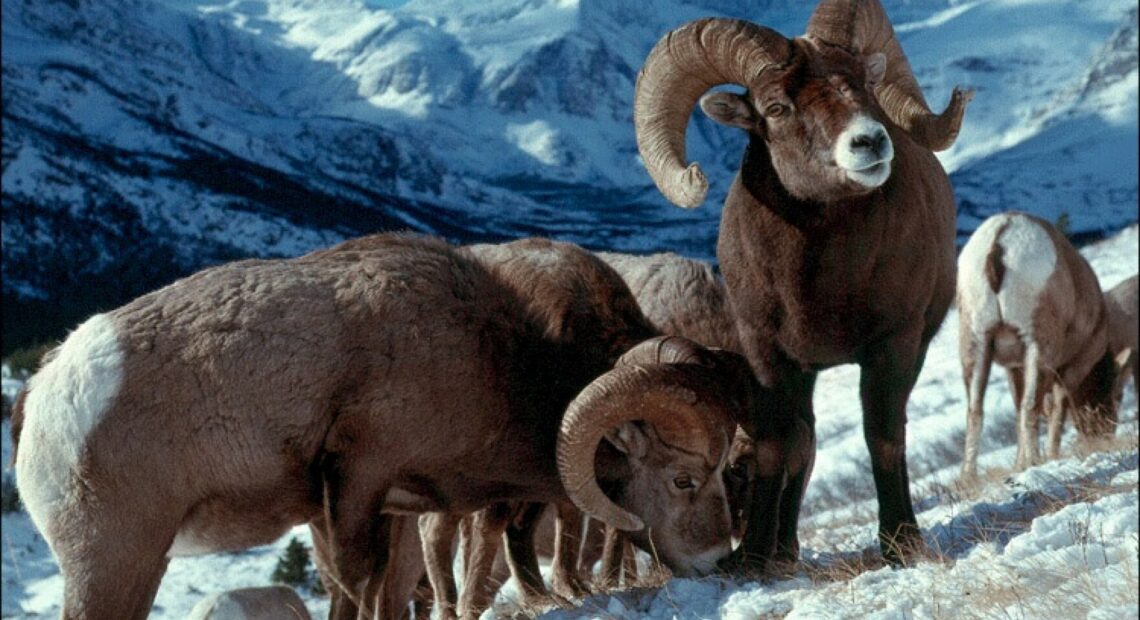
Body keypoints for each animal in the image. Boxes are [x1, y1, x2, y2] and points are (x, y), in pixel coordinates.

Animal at [8, 233, 738, 620]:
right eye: (684, 479)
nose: (719, 560)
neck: (496, 360)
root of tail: (47, 392)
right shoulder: (357, 483)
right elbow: (358, 587)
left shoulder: (389, 508)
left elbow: (381, 589)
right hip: (113, 561)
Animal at [633, 0, 971, 567]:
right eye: (775, 108)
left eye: (863, 82)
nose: (869, 142)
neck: (817, 288)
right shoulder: (768, 357)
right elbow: (777, 446)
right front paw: (751, 560)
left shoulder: (893, 347)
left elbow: (883, 436)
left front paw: (900, 543)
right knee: (802, 439)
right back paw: (783, 550)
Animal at [957, 210, 1135, 476]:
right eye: (1117, 396)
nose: (1103, 436)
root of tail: (999, 242)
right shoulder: (1070, 370)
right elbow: (1056, 409)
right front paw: (1049, 455)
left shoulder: (1014, 368)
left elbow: (1018, 408)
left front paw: (1018, 464)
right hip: (1038, 348)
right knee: (1031, 406)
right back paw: (1034, 461)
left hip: (976, 345)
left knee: (976, 411)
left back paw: (968, 478)